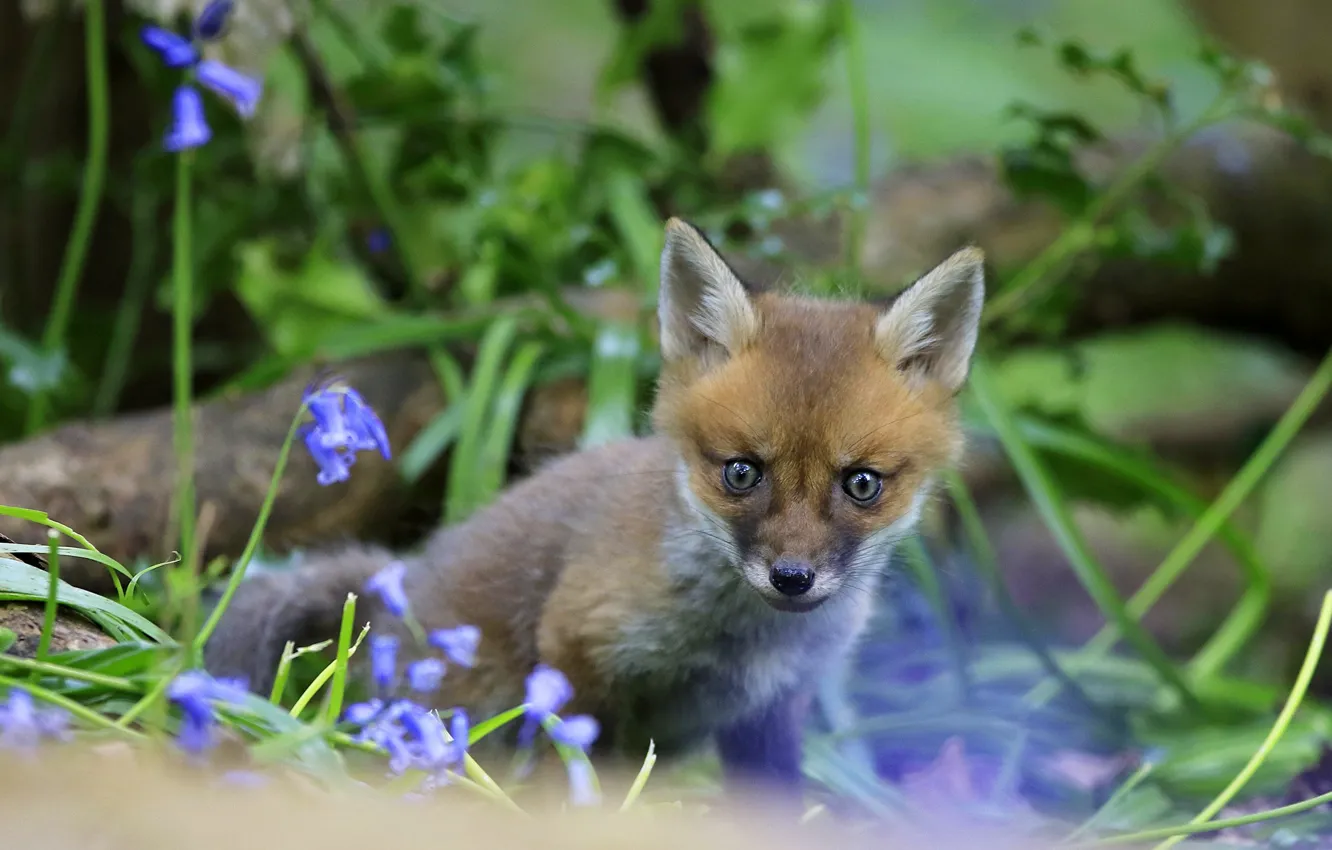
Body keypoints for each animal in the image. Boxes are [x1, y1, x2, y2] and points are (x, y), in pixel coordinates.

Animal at [203, 217, 985, 797]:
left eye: (861, 484)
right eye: (741, 472)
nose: (792, 578)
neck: (743, 647)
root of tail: (396, 586)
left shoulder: (771, 713)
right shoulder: (577, 659)